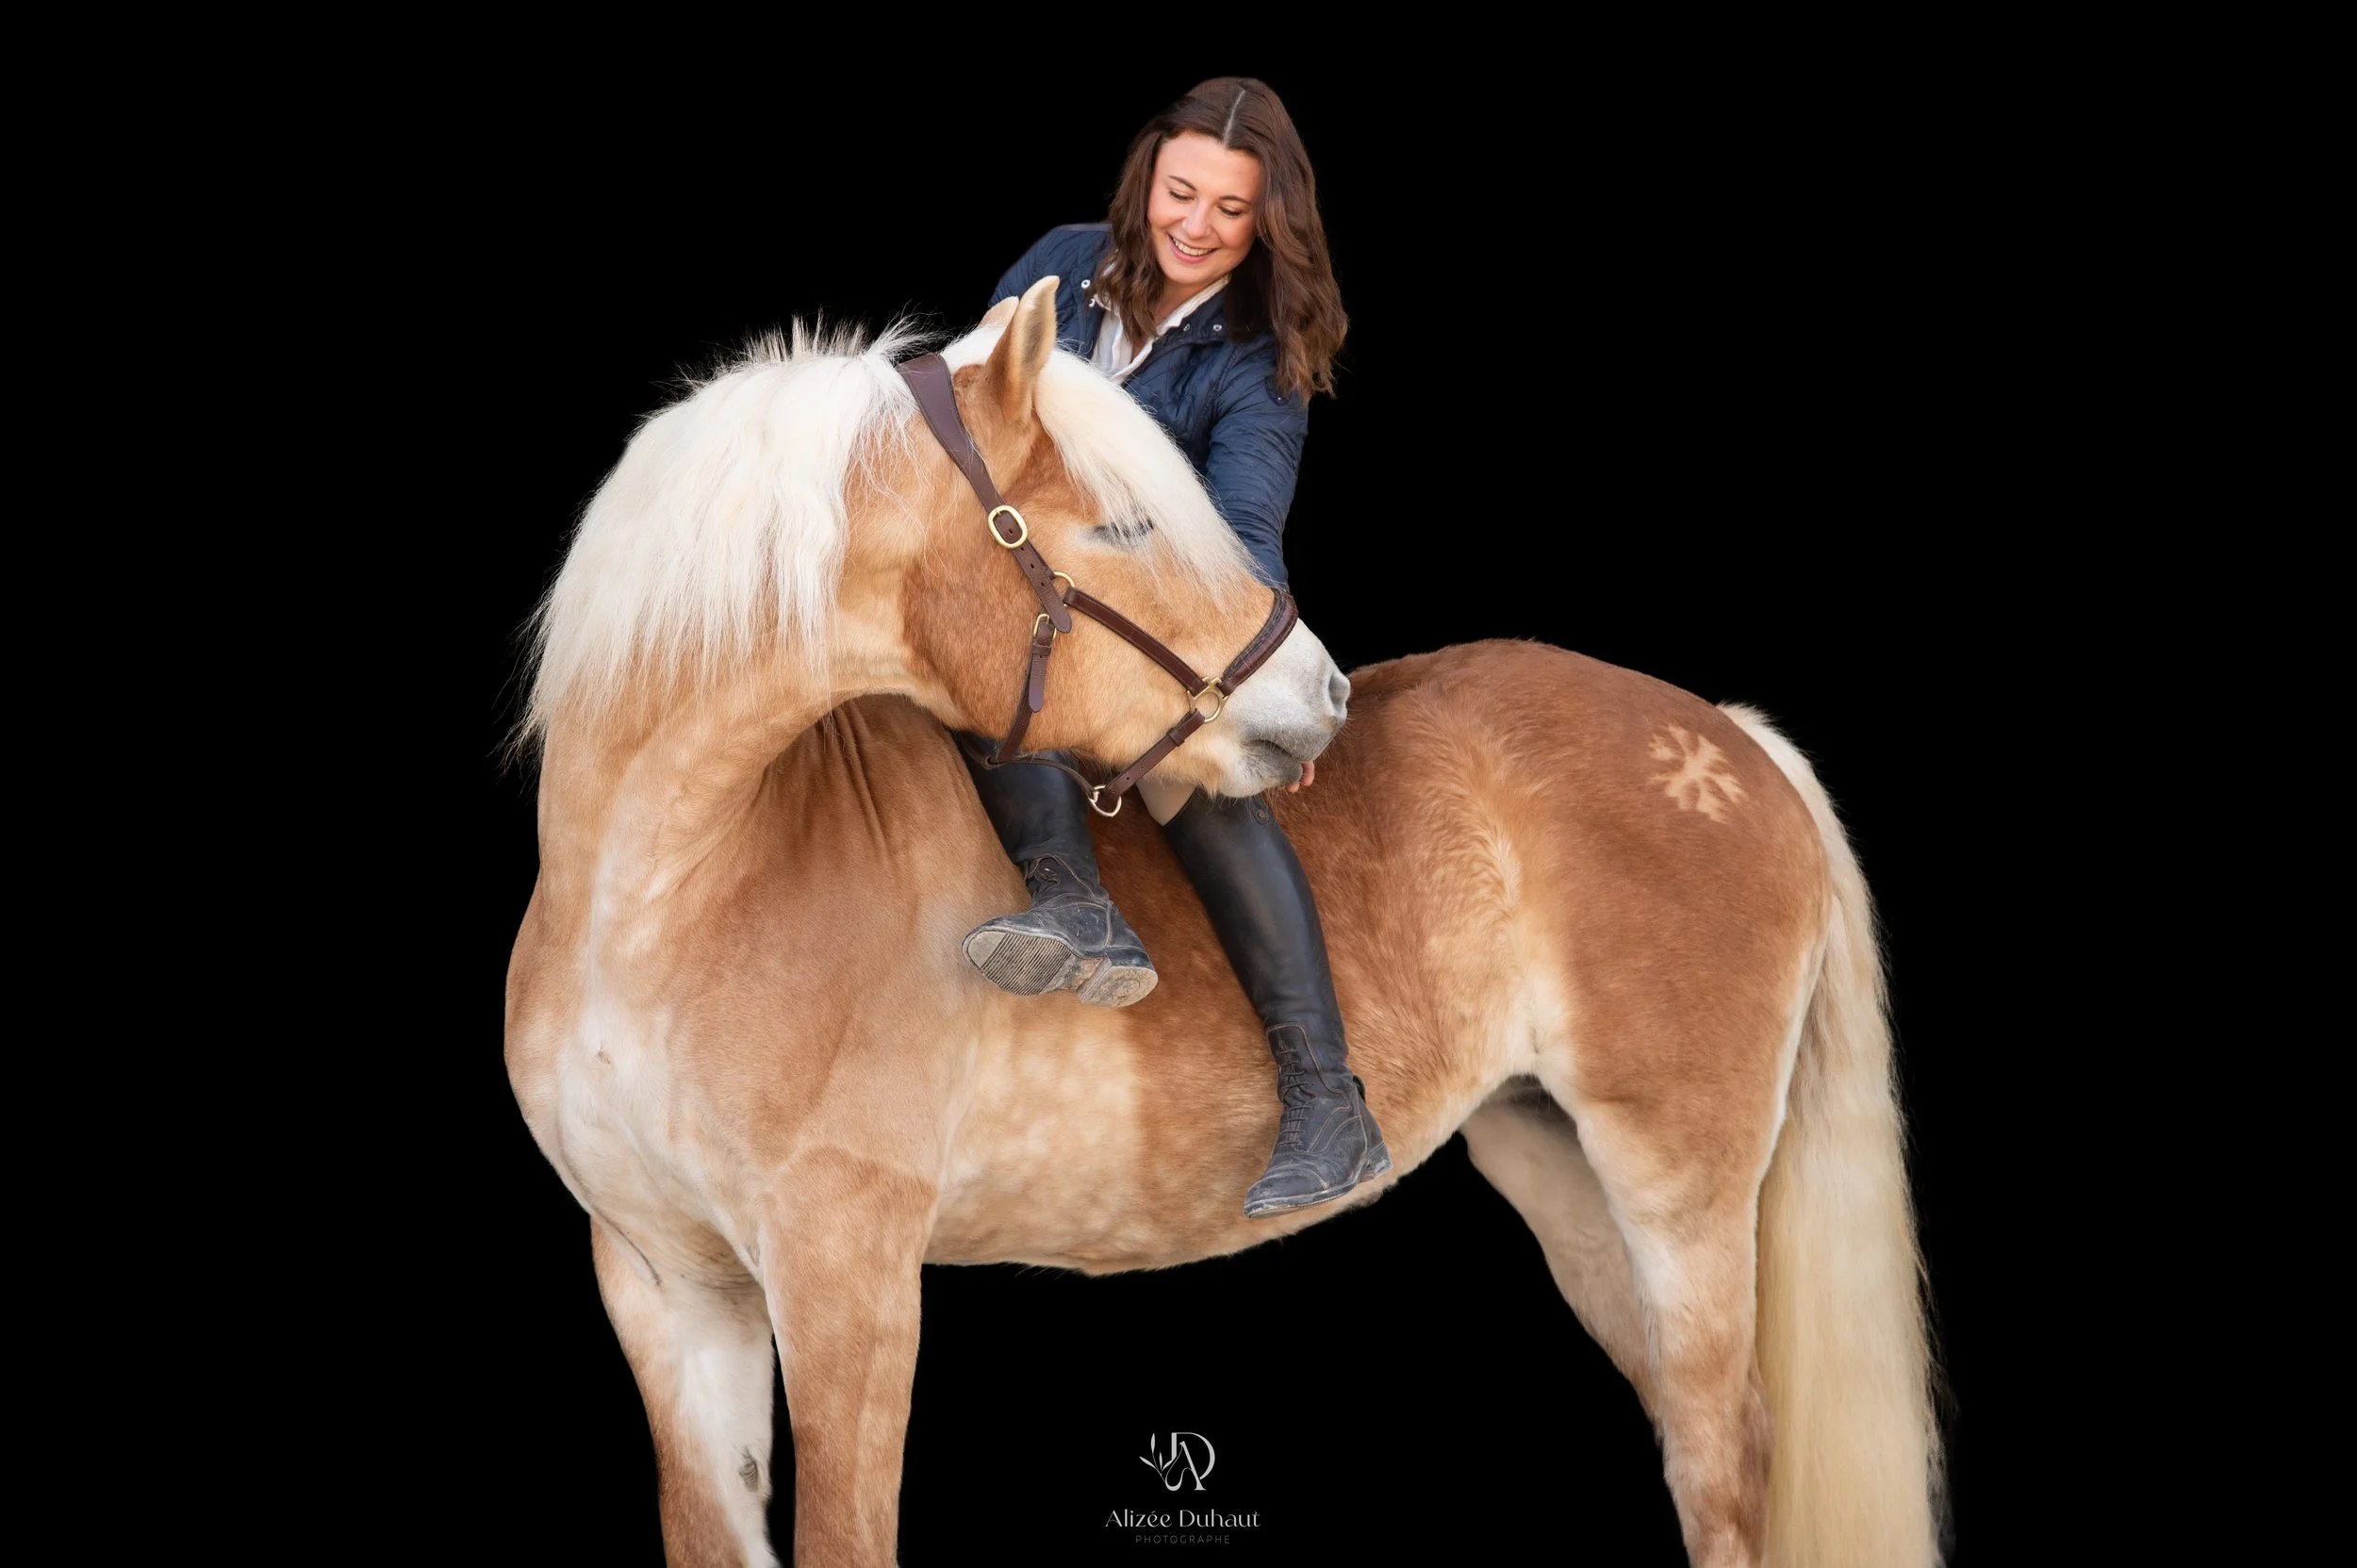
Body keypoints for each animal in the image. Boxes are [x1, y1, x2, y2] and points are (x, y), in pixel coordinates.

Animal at [504, 276, 1942, 1567]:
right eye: (1129, 526)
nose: (1321, 694)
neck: (677, 885)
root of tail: (1731, 738)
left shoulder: (844, 1279)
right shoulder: (669, 1288)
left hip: (1679, 1184)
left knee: (1724, 1455)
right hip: (1566, 1173)